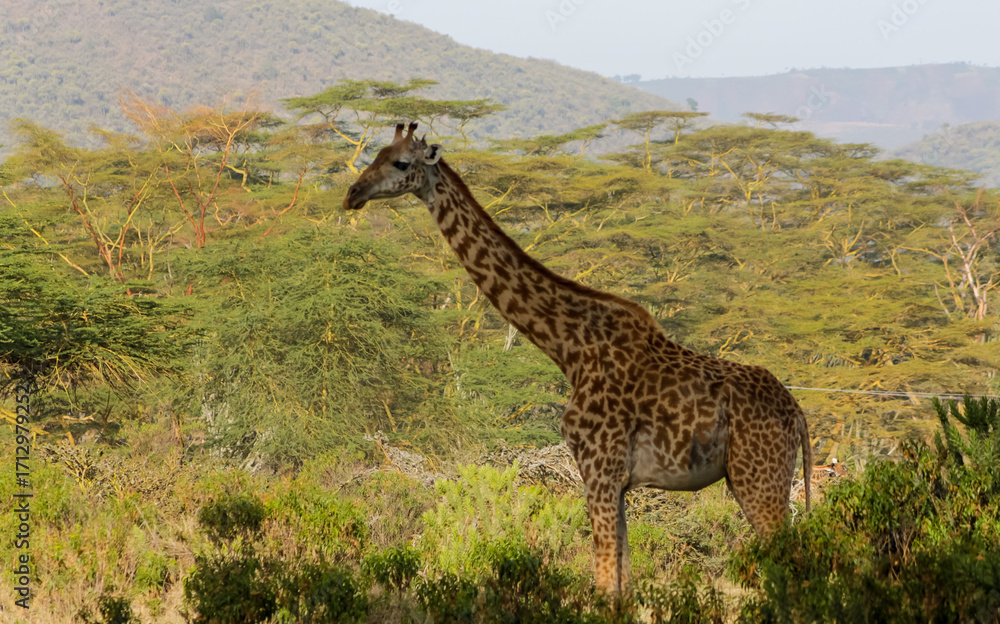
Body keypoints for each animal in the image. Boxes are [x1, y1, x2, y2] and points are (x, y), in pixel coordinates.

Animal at [345, 122, 812, 594]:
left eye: (401, 163)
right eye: (375, 154)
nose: (352, 193)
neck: (568, 347)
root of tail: (797, 414)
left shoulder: (600, 469)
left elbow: (605, 580)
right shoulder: (615, 481)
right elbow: (622, 580)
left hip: (758, 478)